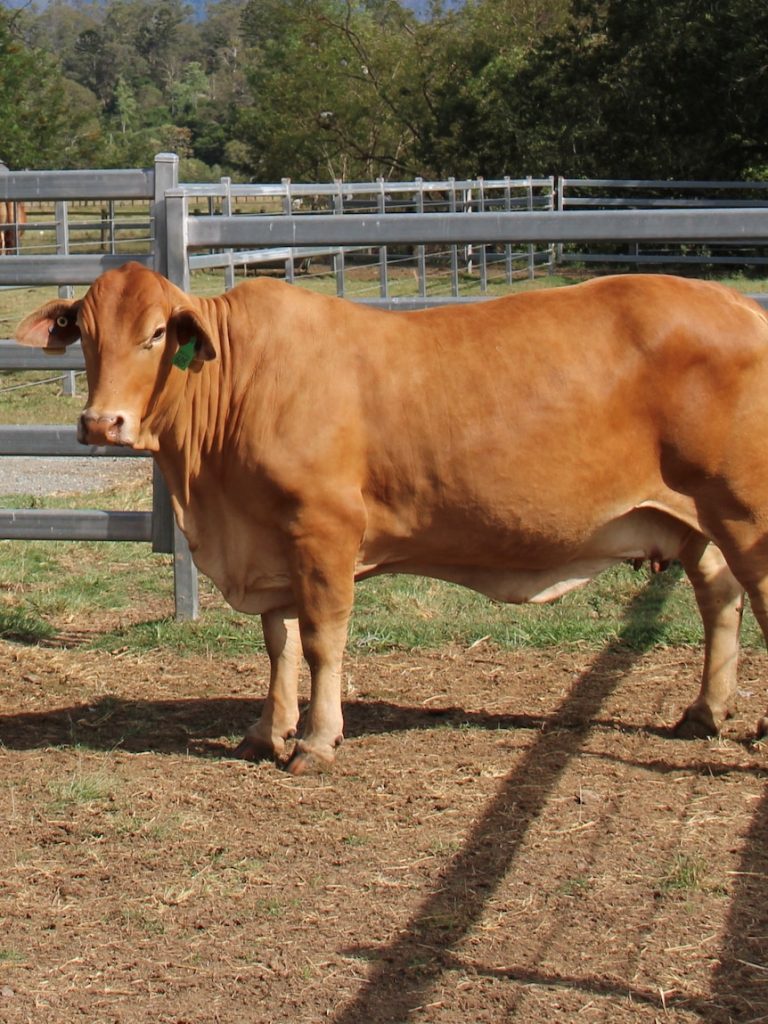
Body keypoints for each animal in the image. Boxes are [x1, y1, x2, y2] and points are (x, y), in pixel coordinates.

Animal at [15, 263, 768, 773]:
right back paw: (706, 710)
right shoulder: (271, 540)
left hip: (745, 510)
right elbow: (279, 643)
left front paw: (316, 740)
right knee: (720, 598)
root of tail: (738, 303)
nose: (100, 423)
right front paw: (266, 731)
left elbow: (322, 640)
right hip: (697, 520)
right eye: (84, 335)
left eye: (154, 336)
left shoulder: (324, 528)